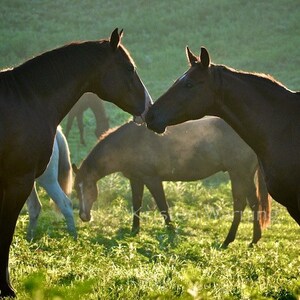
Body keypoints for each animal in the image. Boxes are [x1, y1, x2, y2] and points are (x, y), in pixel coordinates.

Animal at [73, 118, 272, 247]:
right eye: (76, 189)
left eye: (88, 186)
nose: (84, 216)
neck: (129, 143)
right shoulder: (136, 179)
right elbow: (136, 204)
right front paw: (134, 231)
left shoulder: (152, 179)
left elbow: (162, 206)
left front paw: (171, 230)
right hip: (241, 174)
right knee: (247, 203)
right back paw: (242, 239)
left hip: (240, 173)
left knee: (248, 204)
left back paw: (240, 240)